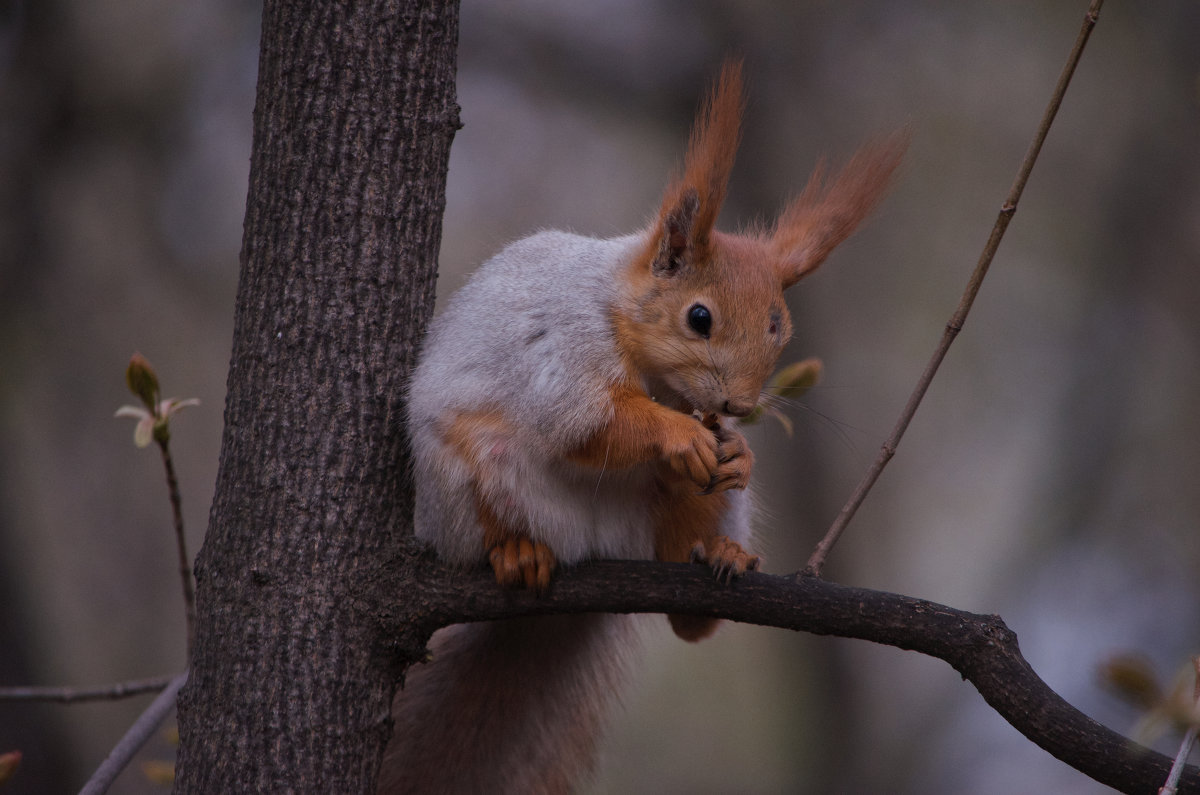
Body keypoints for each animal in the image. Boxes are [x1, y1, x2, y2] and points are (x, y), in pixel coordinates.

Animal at [379, 63, 902, 795]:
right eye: (699, 317)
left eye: (780, 327)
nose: (739, 405)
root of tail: (597, 547)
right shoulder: (565, 347)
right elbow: (582, 421)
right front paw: (677, 436)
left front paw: (736, 452)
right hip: (468, 486)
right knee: (495, 517)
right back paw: (518, 551)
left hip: (685, 522)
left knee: (690, 596)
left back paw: (717, 553)